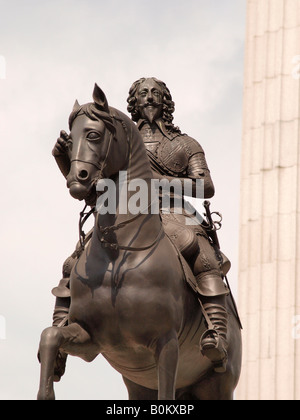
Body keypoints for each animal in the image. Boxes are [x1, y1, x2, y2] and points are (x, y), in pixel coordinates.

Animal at [37, 83, 241, 400]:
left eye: (93, 134)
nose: (77, 180)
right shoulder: (91, 338)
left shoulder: (166, 343)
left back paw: (215, 342)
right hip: (138, 384)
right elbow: (50, 335)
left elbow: (202, 182)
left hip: (219, 383)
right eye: (70, 141)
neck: (118, 254)